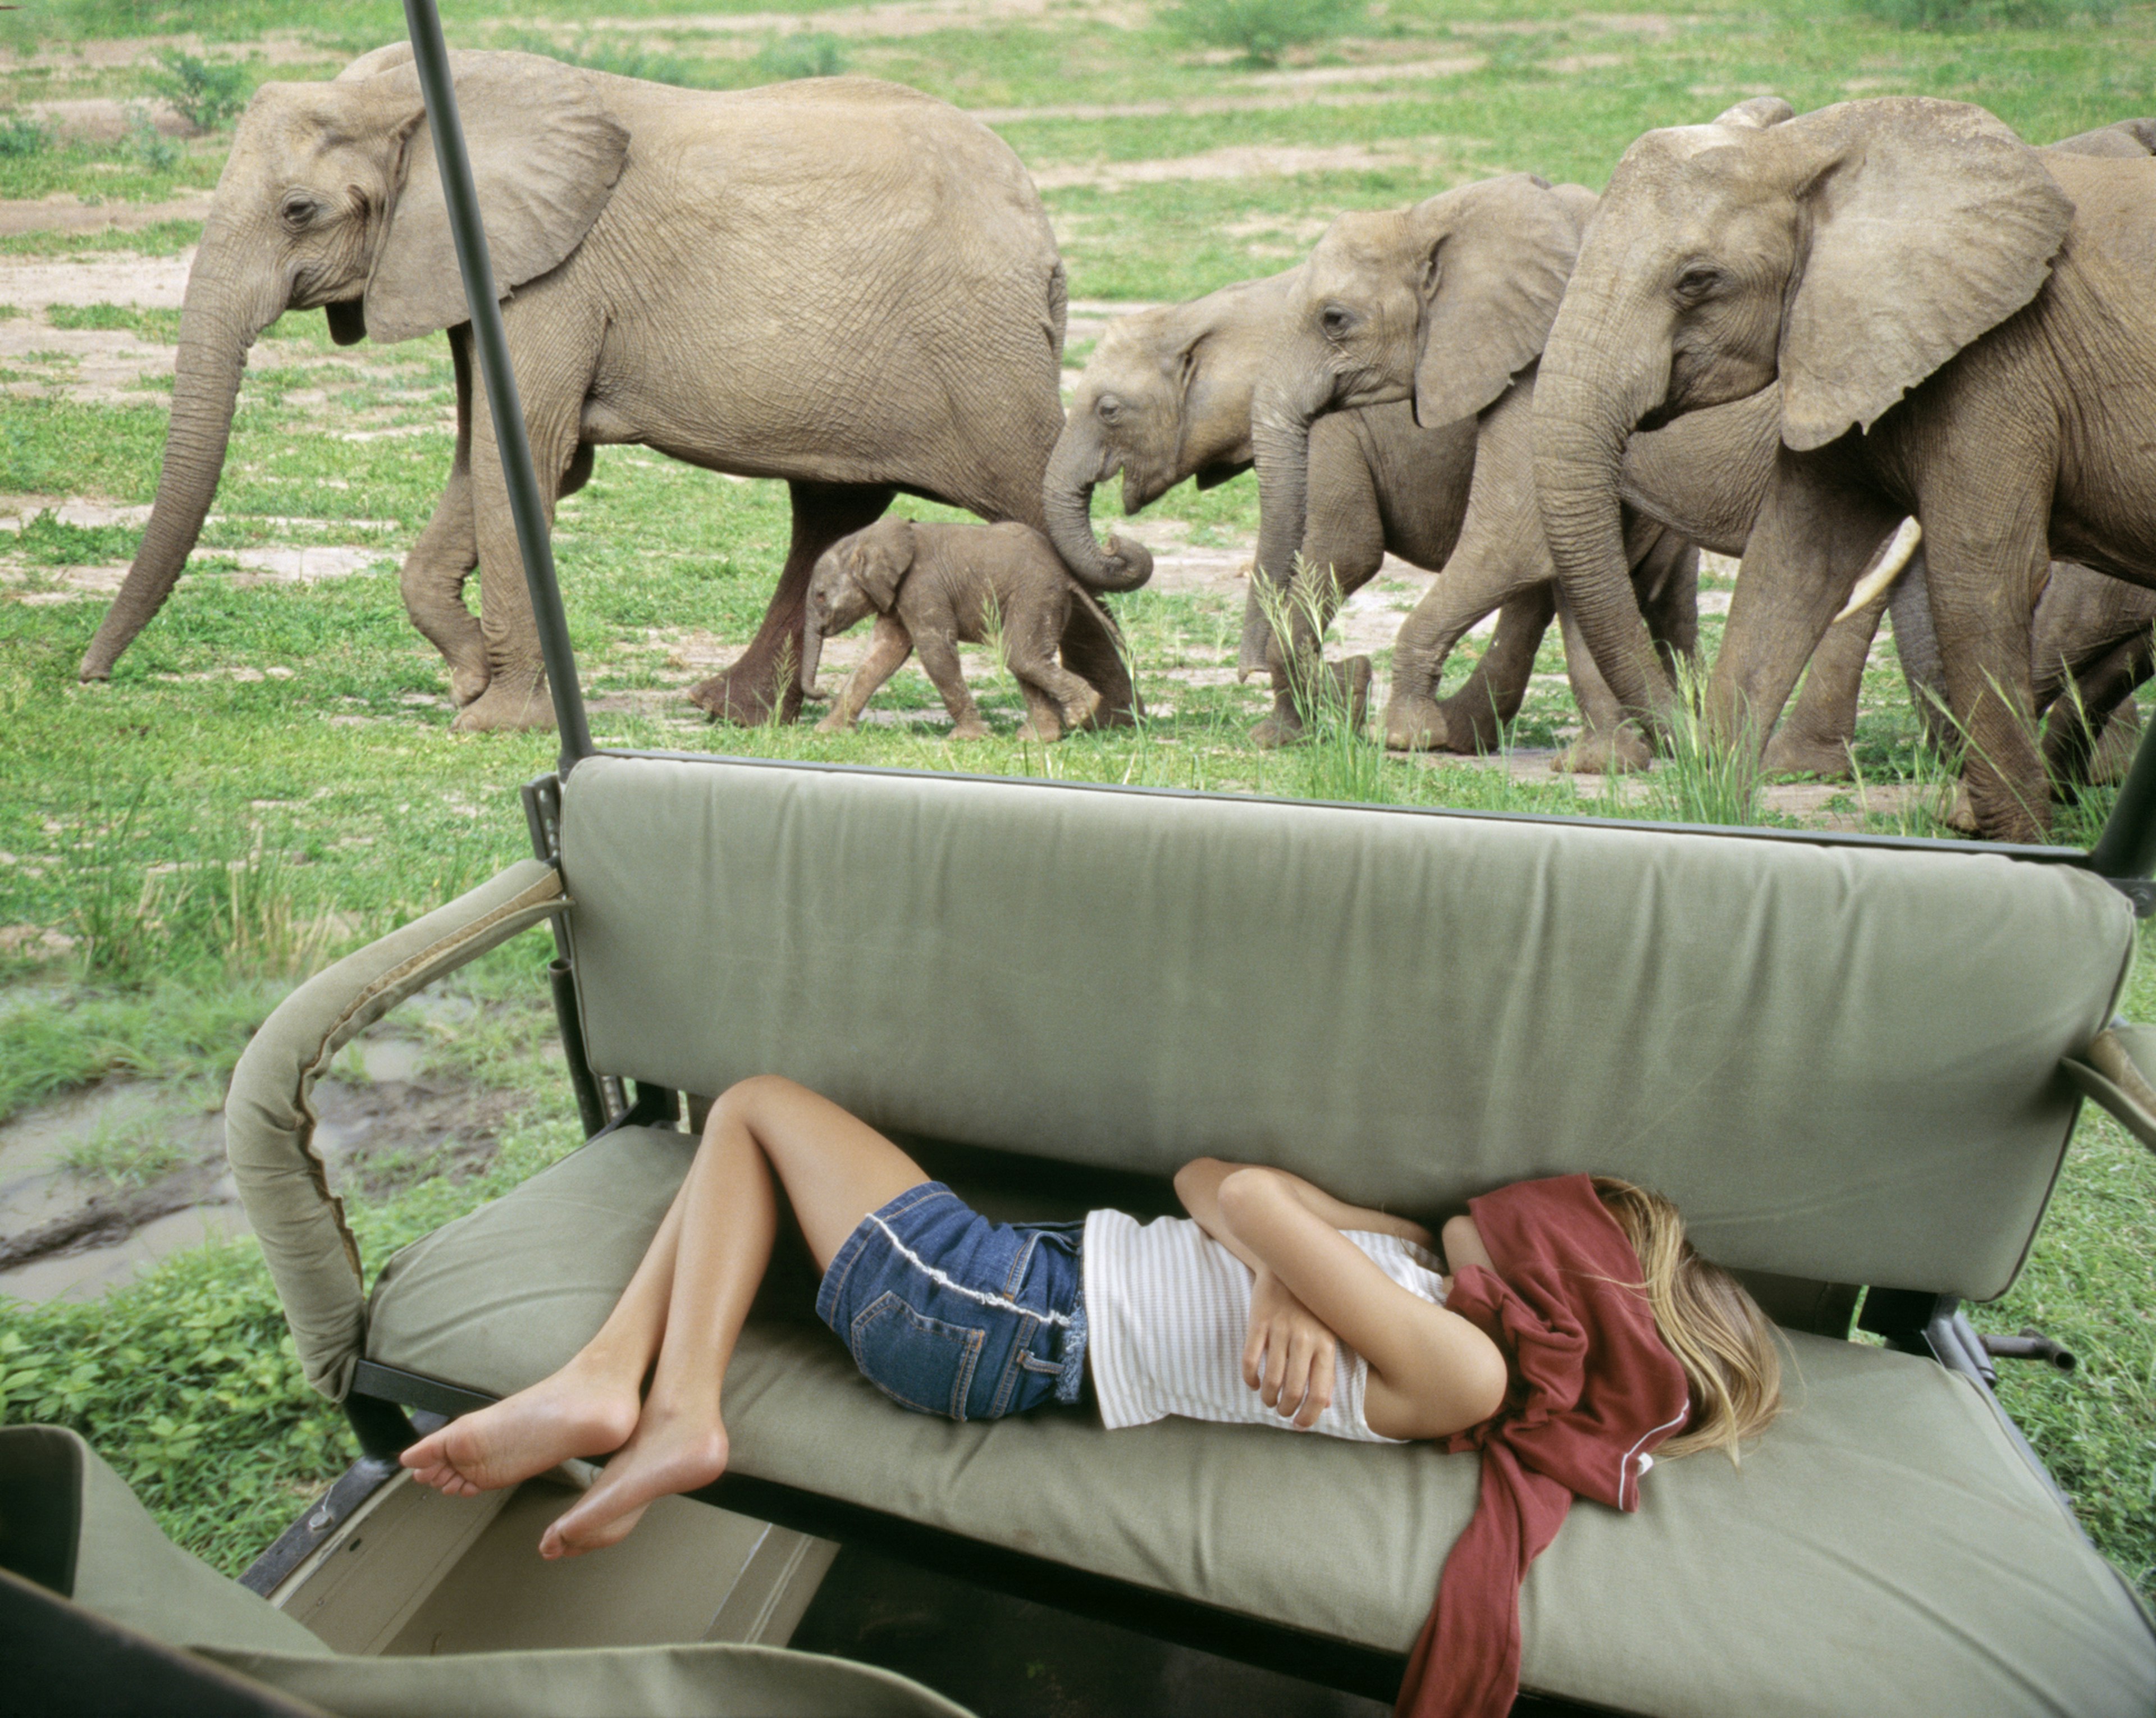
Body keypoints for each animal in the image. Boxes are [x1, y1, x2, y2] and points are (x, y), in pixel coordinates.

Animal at [802, 519, 1121, 741]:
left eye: (820, 596)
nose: (820, 691)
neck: (871, 537)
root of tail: (1067, 575)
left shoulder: (923, 586)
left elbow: (935, 651)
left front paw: (966, 738)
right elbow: (882, 653)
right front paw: (826, 732)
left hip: (1037, 594)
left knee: (1020, 655)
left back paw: (1082, 711)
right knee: (1025, 658)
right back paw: (1038, 739)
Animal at [1535, 97, 2156, 840]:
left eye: (1697, 281)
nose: (1681, 725)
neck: (1818, 144)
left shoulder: (2004, 366)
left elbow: (1981, 582)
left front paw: (2016, 843)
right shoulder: (1841, 342)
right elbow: (1789, 570)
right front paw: (1712, 813)